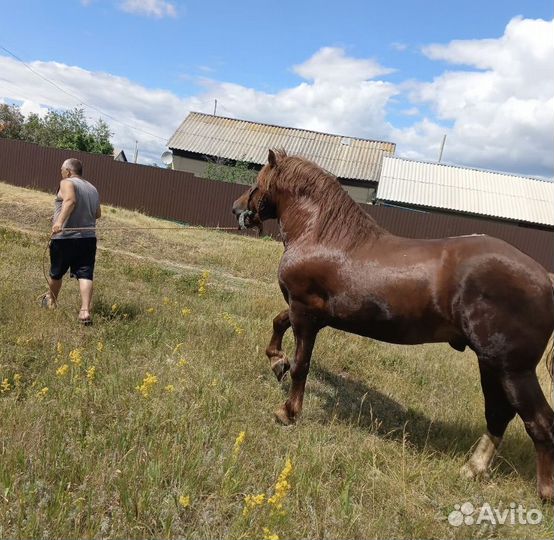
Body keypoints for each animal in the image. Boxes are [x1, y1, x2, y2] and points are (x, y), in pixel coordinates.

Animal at [230, 149, 552, 502]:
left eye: (258, 179)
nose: (237, 208)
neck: (322, 236)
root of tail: (546, 278)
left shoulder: (305, 311)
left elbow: (302, 365)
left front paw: (288, 411)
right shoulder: (310, 312)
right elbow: (278, 322)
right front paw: (277, 361)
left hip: (514, 370)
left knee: (539, 422)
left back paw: (544, 491)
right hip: (491, 364)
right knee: (499, 413)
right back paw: (473, 468)